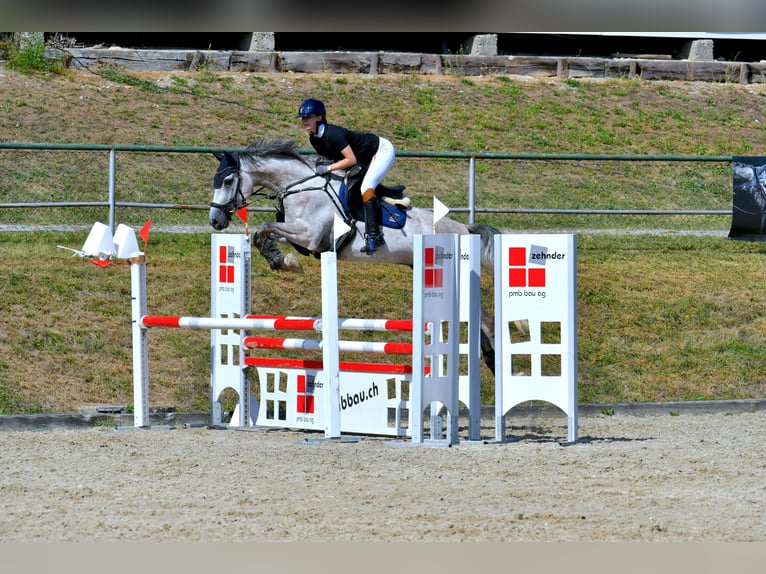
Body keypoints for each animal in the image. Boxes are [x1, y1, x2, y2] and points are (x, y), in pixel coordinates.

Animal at [208, 137, 501, 371]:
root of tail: (464, 227)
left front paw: (284, 261)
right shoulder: (303, 238)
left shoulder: (309, 235)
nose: (215, 221)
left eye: (228, 180)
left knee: (486, 321)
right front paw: (281, 259)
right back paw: (489, 359)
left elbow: (266, 226)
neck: (299, 186)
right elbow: (264, 233)